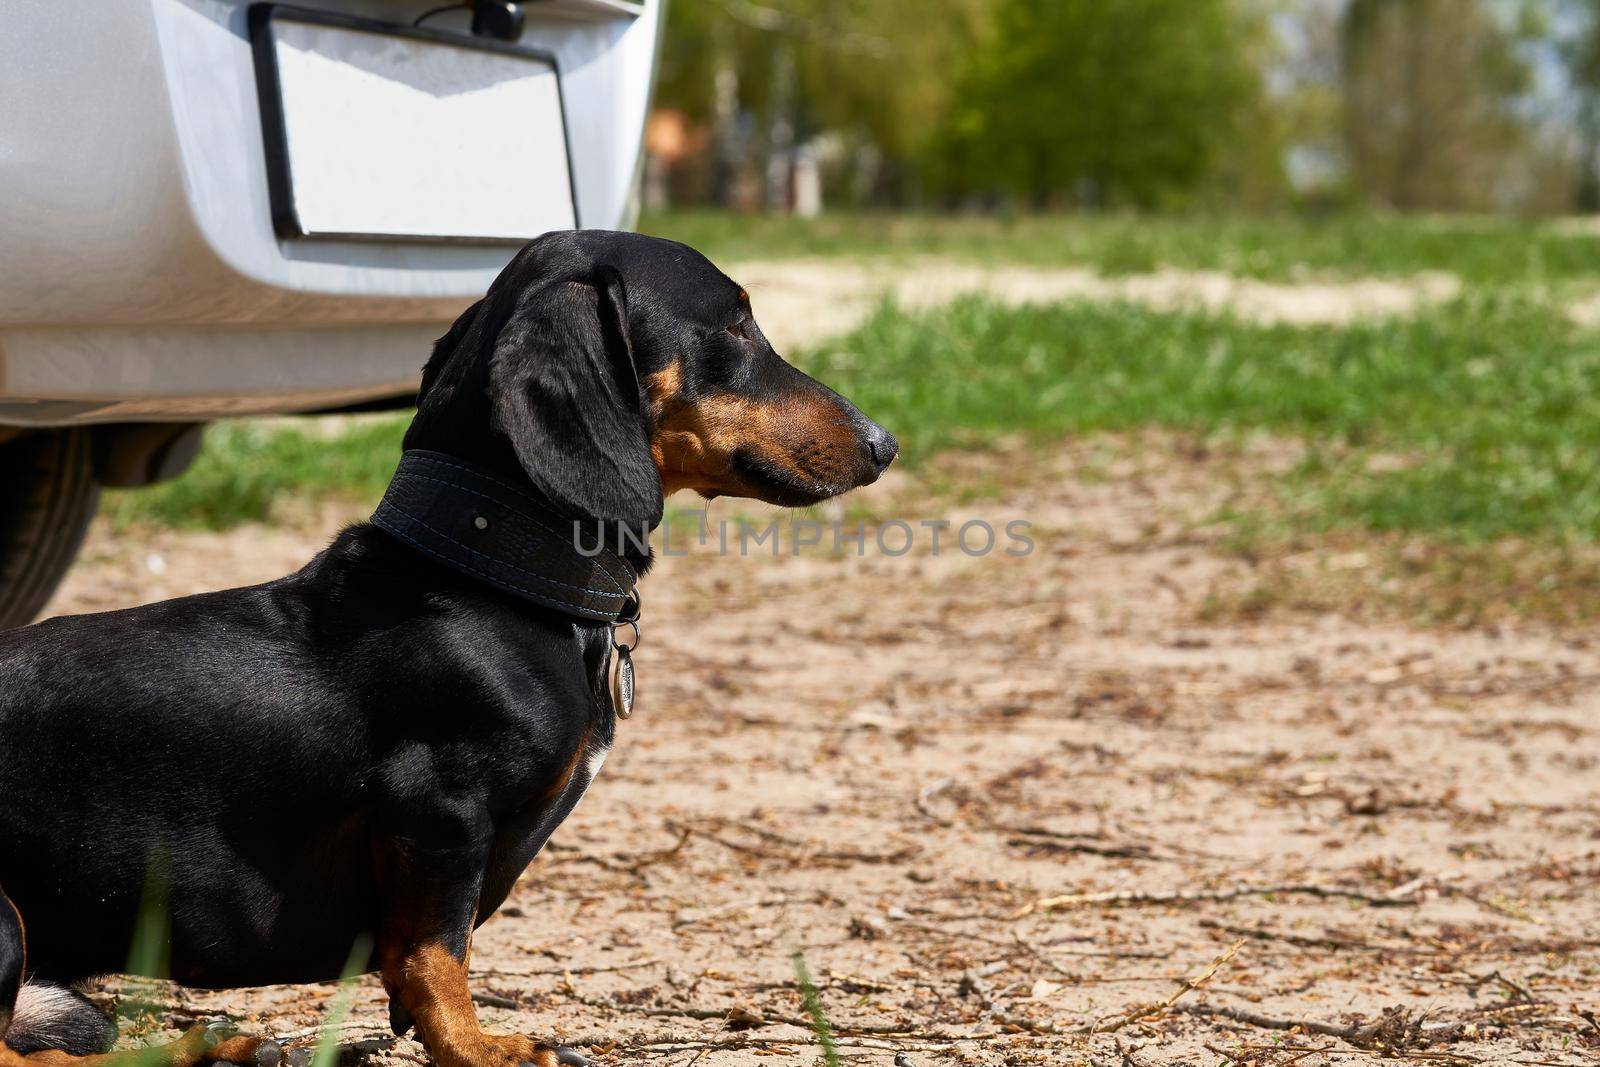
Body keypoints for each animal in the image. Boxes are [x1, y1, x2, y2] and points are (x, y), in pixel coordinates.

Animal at [0, 231, 896, 1067]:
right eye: (736, 326)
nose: (884, 443)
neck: (485, 570)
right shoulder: (438, 812)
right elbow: (436, 953)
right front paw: (480, 1045)